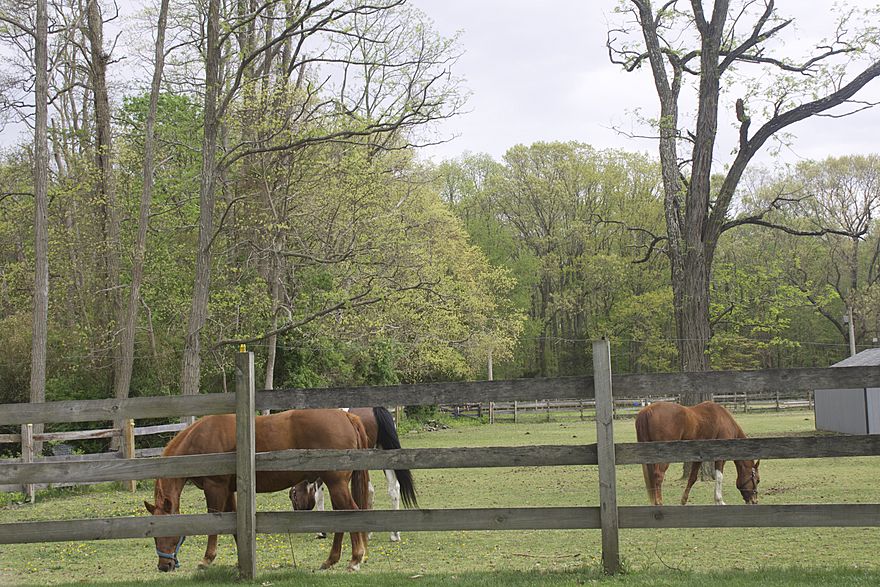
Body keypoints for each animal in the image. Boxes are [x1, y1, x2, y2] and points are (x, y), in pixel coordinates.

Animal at [143, 412, 370, 572]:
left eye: (167, 532)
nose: (164, 566)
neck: (199, 440)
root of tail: (346, 417)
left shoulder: (215, 487)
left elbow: (214, 521)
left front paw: (207, 559)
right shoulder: (228, 491)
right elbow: (234, 525)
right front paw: (241, 561)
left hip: (336, 483)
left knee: (350, 512)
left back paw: (355, 559)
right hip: (335, 485)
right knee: (340, 517)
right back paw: (331, 560)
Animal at [290, 408, 418, 544]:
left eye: (293, 495)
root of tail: (375, 409)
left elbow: (319, 496)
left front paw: (322, 532)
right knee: (392, 489)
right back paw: (393, 534)